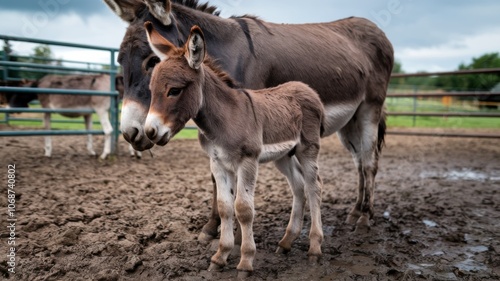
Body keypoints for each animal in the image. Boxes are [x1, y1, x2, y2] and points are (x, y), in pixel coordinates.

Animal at [143, 23, 326, 274]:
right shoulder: (218, 162)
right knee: (298, 187)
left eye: (174, 90)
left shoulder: (247, 161)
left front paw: (245, 261)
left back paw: (315, 248)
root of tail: (307, 89)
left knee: (313, 186)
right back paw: (286, 242)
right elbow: (224, 207)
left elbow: (243, 209)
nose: (149, 132)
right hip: (284, 155)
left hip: (307, 149)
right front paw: (220, 256)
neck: (225, 118)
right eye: (152, 91)